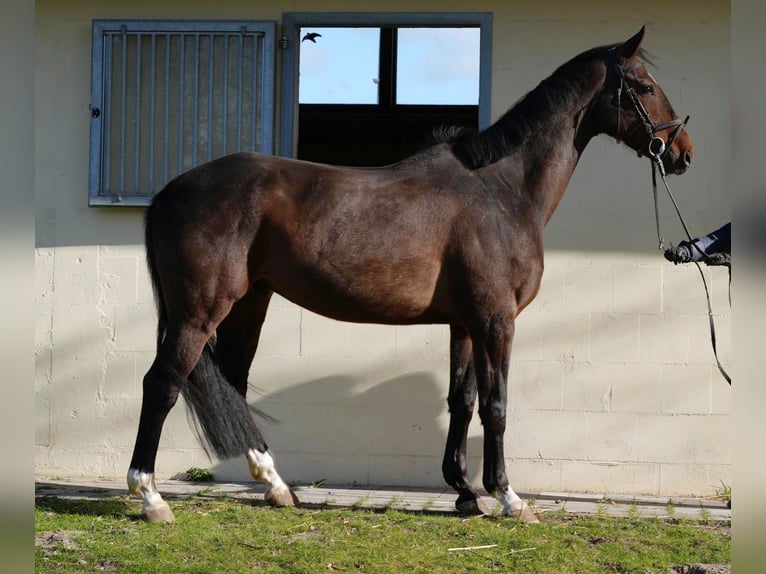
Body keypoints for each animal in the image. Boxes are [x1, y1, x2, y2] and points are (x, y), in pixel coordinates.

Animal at [127, 27, 693, 523]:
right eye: (644, 86)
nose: (683, 151)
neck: (503, 189)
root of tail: (172, 190)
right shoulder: (496, 320)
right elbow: (497, 404)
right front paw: (507, 497)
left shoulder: (464, 324)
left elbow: (462, 401)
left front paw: (465, 493)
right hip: (199, 311)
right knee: (162, 383)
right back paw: (151, 498)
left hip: (249, 304)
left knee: (235, 383)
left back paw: (276, 486)